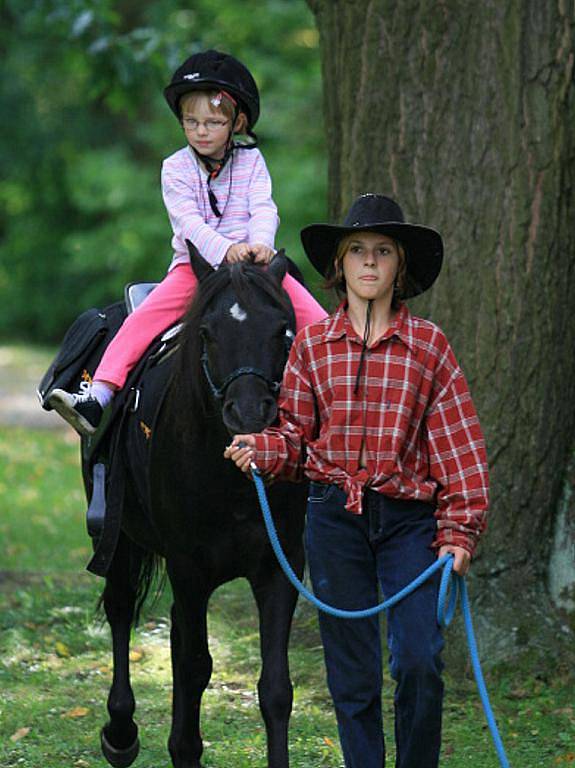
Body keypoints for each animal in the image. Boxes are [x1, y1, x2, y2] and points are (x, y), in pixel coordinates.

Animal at [95, 248, 306, 768]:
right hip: (119, 537)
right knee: (121, 608)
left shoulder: (281, 566)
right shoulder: (189, 568)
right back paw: (120, 734)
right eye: (207, 331)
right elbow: (194, 666)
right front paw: (183, 748)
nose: (249, 413)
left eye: (283, 331)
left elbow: (275, 688)